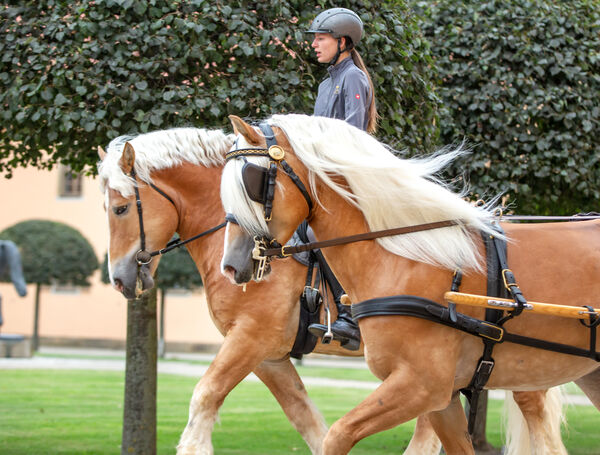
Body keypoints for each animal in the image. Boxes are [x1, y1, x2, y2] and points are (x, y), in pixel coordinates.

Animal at [99, 126, 460, 455]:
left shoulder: (250, 338)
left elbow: (205, 396)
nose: (118, 279)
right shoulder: (267, 356)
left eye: (120, 209)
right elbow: (306, 419)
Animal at [221, 115, 600, 455]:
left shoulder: (421, 385)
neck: (404, 256)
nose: (231, 265)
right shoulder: (443, 398)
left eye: (252, 180)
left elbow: (337, 435)